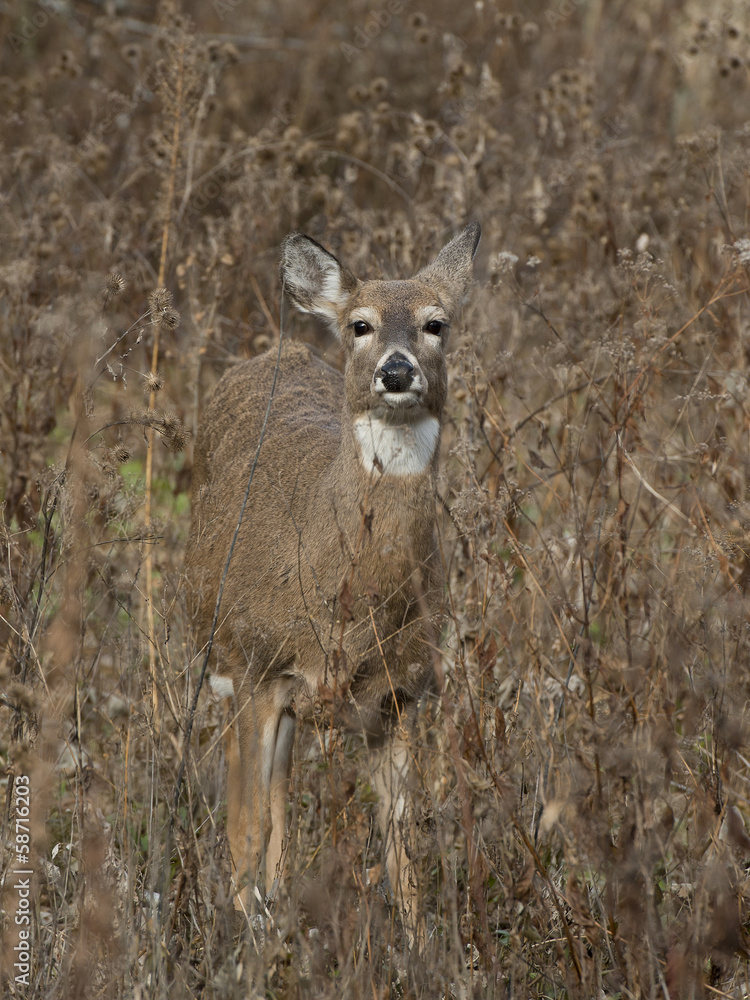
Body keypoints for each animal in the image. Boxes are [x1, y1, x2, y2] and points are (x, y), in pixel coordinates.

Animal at [185, 222, 481, 948]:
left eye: (437, 323)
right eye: (360, 324)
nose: (396, 371)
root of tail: (279, 348)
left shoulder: (402, 695)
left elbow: (403, 842)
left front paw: (423, 950)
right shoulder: (258, 670)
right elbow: (246, 824)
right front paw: (250, 945)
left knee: (280, 802)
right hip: (228, 662)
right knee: (249, 806)